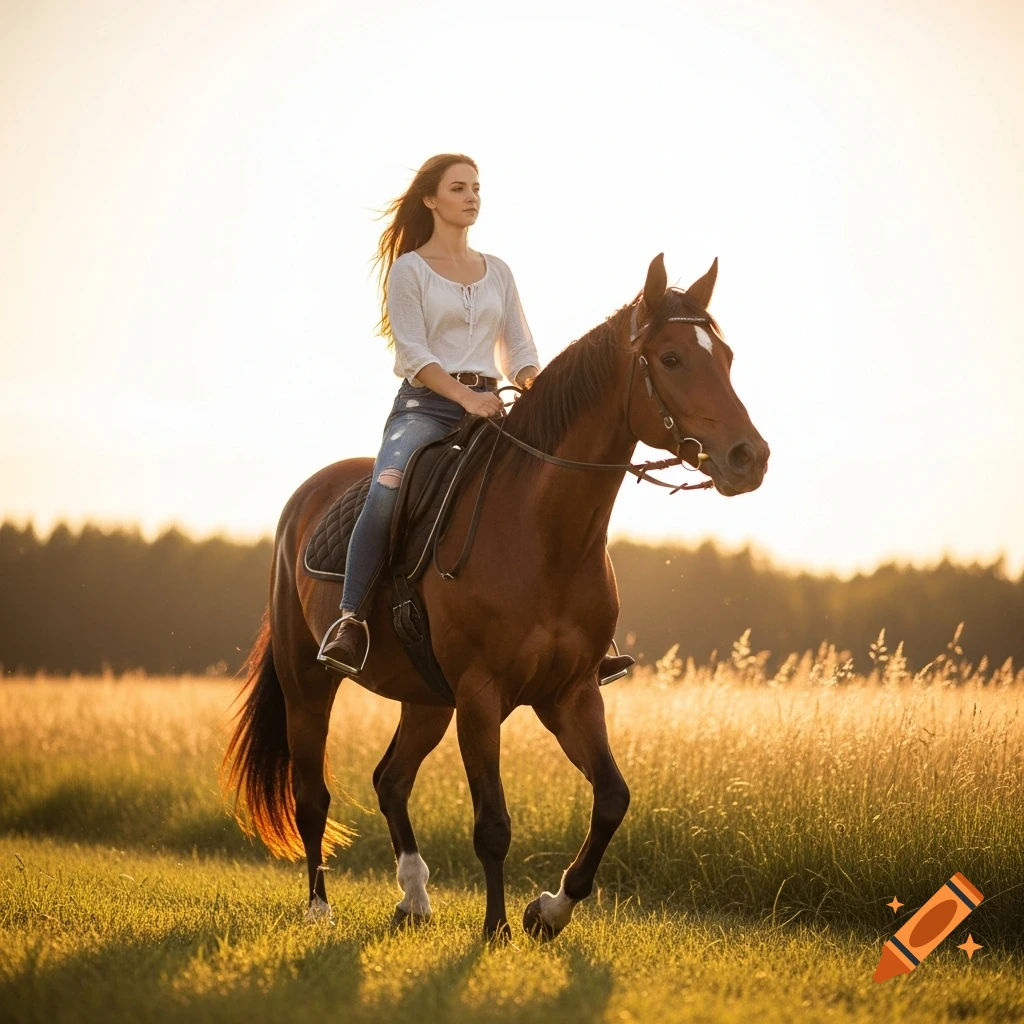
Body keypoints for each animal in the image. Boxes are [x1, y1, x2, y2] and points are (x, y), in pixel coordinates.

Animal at [221, 252, 770, 940]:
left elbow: (612, 799)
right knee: (311, 793)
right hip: (308, 684)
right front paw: (498, 929)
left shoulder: (571, 693)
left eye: (726, 357)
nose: (750, 457)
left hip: (427, 699)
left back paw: (414, 896)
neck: (542, 535)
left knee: (390, 779)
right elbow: (493, 824)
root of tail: (303, 499)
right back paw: (321, 907)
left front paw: (549, 910)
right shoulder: (481, 696)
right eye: (670, 358)